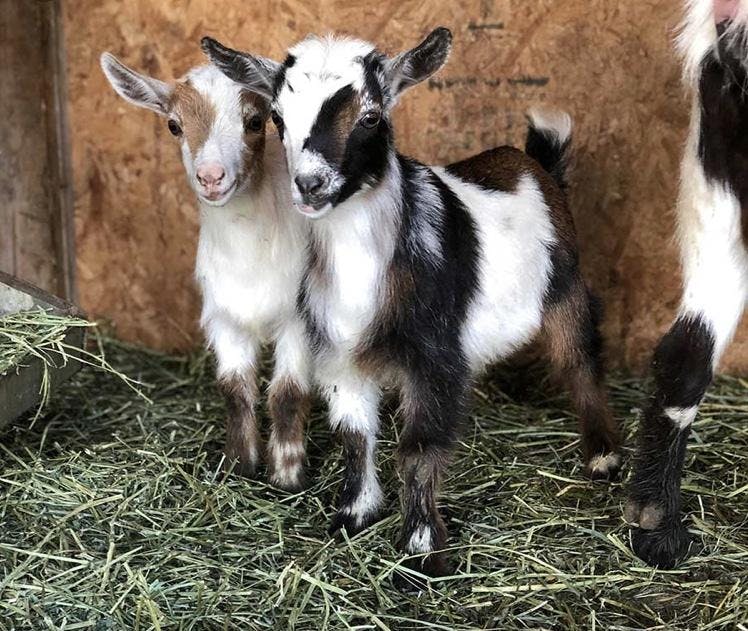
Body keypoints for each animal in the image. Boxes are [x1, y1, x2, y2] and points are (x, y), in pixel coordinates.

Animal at [99, 53, 310, 488]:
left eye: (254, 121)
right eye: (174, 125)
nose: (211, 177)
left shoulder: (297, 319)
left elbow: (286, 391)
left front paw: (286, 474)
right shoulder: (223, 316)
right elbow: (234, 389)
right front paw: (239, 465)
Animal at [203, 28, 620, 584]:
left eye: (371, 116)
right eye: (277, 118)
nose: (310, 184)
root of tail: (536, 163)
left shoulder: (433, 358)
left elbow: (420, 449)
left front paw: (422, 551)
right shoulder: (339, 354)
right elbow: (355, 434)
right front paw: (354, 514)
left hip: (565, 288)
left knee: (580, 360)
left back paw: (603, 458)